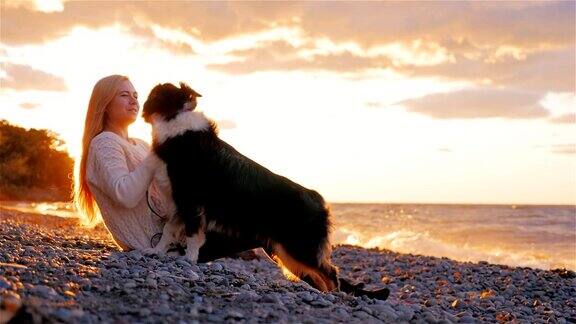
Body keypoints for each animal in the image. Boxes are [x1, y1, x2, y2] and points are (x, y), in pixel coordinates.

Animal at [142, 82, 340, 292]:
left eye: (153, 96)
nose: (142, 107)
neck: (175, 117)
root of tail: (318, 198)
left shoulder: (189, 201)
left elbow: (192, 235)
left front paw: (189, 259)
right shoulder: (177, 203)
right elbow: (168, 231)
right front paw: (156, 251)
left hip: (299, 246)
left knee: (330, 272)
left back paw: (335, 295)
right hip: (287, 250)